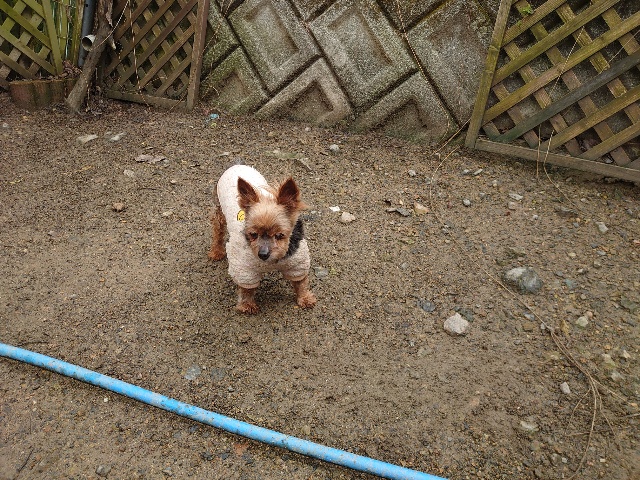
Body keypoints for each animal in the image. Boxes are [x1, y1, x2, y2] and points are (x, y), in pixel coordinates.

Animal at [208, 164, 316, 313]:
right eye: (253, 234)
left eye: (280, 235)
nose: (263, 254)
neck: (272, 262)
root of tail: (237, 164)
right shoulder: (244, 269)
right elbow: (246, 289)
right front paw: (247, 305)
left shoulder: (297, 263)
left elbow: (300, 282)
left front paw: (304, 298)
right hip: (219, 211)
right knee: (218, 232)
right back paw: (216, 252)